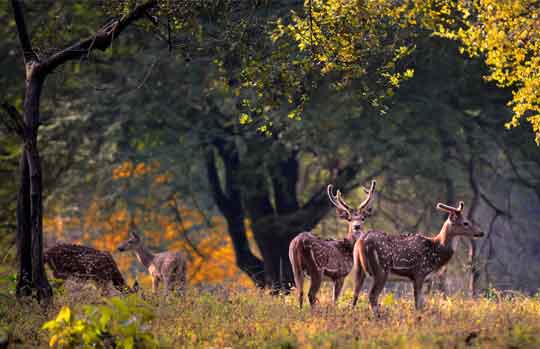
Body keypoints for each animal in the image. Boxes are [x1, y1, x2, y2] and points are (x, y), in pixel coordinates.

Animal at [352, 201, 484, 312]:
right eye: (465, 223)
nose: (481, 232)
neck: (435, 254)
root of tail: (361, 242)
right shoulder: (419, 273)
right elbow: (418, 305)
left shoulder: (426, 279)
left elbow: (422, 304)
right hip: (381, 270)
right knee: (372, 296)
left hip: (358, 267)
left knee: (355, 294)